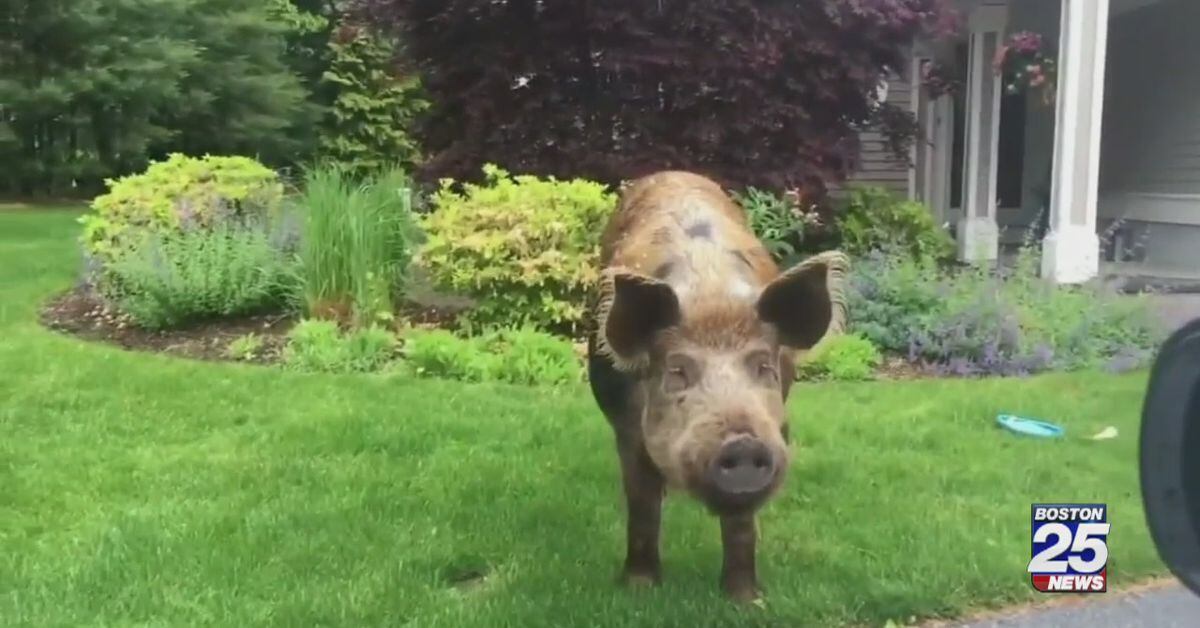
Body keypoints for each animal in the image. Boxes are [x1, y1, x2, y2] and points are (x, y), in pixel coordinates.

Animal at [585, 171, 848, 602]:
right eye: (677, 371)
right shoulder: (627, 427)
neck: (711, 297)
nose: (742, 443)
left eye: (763, 367)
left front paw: (745, 599)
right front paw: (639, 589)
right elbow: (641, 505)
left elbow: (742, 525)